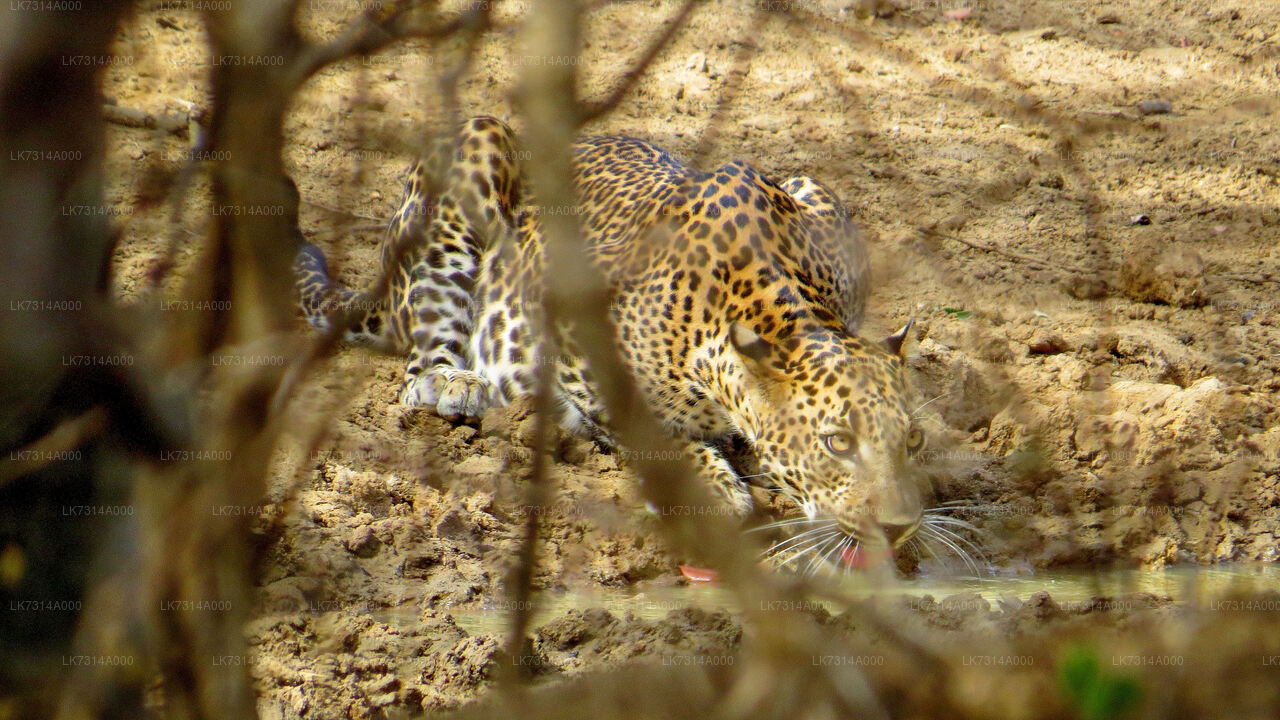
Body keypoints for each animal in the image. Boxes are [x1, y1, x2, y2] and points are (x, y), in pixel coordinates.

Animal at [296, 114, 942, 563]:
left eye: (911, 441)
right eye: (837, 443)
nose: (900, 527)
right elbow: (642, 424)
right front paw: (708, 486)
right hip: (472, 146)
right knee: (418, 374)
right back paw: (460, 384)